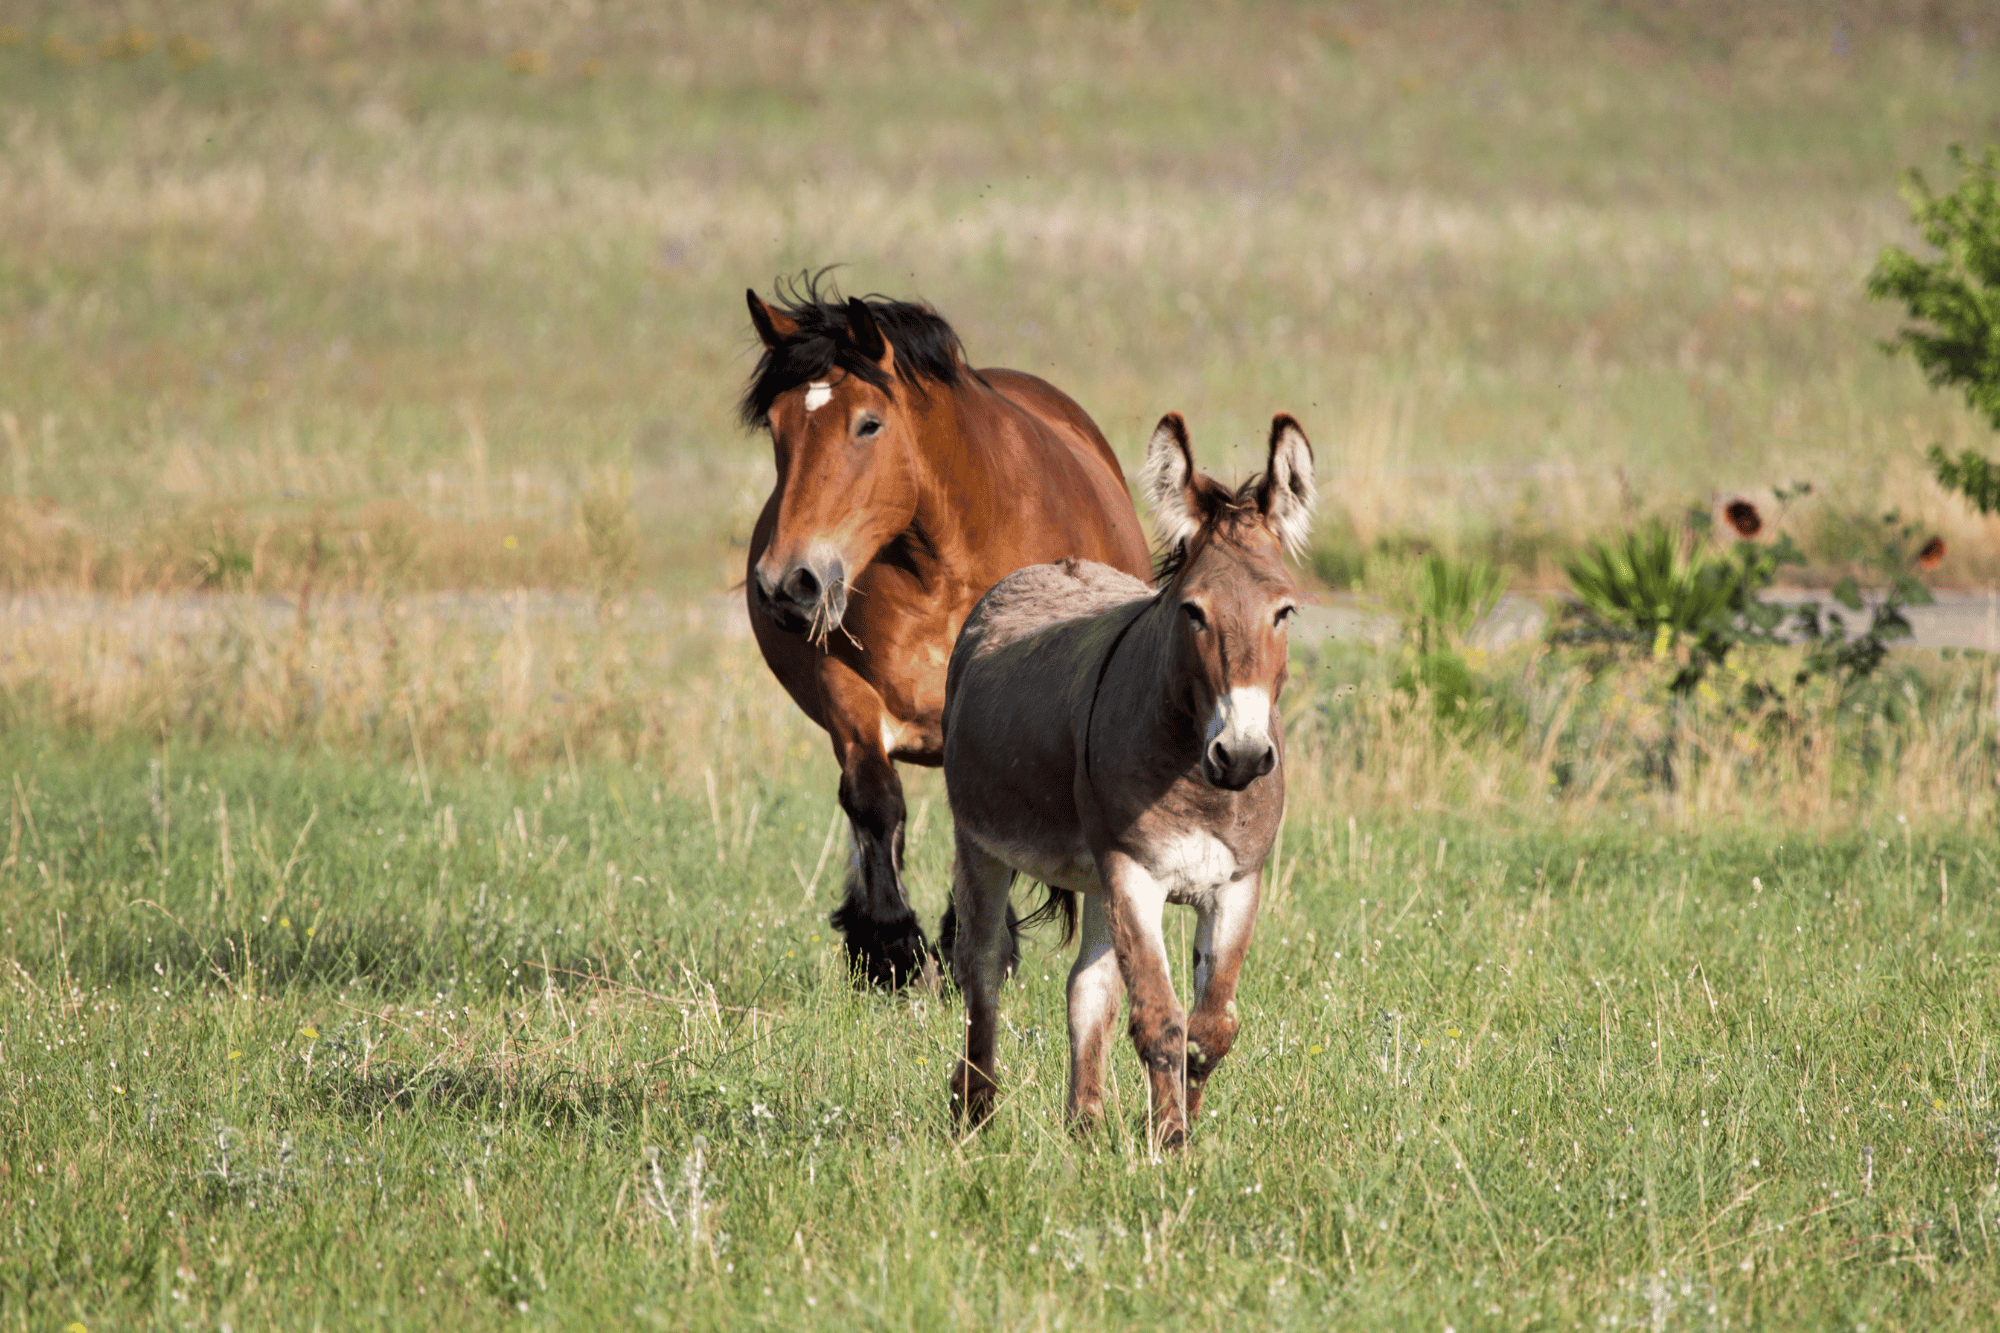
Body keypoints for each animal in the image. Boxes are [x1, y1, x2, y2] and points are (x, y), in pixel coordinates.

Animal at [740, 274, 1153, 988]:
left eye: (868, 423)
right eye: (777, 425)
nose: (786, 583)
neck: (943, 568)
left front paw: (977, 945)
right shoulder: (846, 692)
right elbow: (873, 800)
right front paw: (889, 945)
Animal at [940, 411, 1315, 1148]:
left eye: (1284, 611)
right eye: (1193, 612)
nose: (1243, 756)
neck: (1197, 779)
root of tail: (1047, 567)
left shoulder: (1237, 883)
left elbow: (1209, 1027)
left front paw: (1180, 1128)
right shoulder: (1134, 872)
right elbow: (1162, 1020)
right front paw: (1168, 1142)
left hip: (1095, 878)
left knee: (1087, 987)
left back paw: (1084, 1123)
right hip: (983, 845)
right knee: (983, 968)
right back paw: (977, 1110)